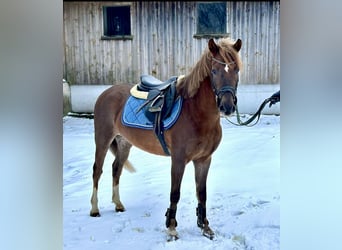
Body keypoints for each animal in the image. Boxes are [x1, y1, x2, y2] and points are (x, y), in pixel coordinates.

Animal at [89, 37, 242, 240]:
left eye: (236, 70)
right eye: (214, 70)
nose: (227, 106)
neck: (195, 112)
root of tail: (106, 93)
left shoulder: (203, 159)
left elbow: (202, 193)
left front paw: (204, 226)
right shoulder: (178, 159)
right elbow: (175, 193)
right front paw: (171, 228)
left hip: (124, 143)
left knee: (116, 169)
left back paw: (118, 204)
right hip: (103, 139)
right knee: (97, 171)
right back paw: (94, 209)